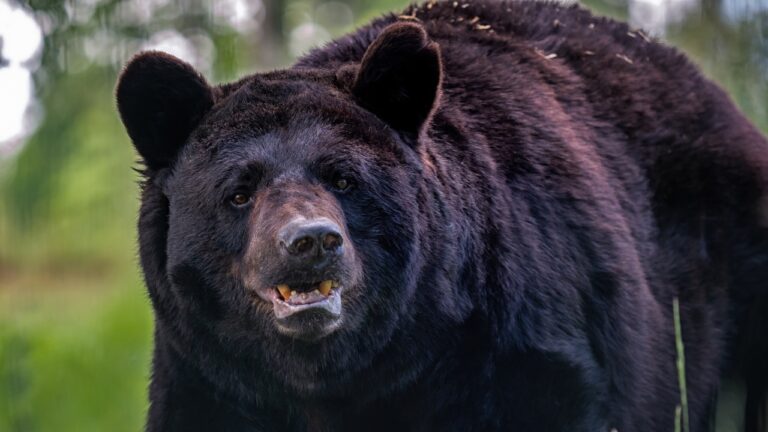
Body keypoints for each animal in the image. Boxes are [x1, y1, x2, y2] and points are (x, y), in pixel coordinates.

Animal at [115, 1, 768, 431]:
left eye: (343, 177)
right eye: (239, 192)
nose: (312, 241)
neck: (341, 380)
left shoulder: (520, 349)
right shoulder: (212, 379)